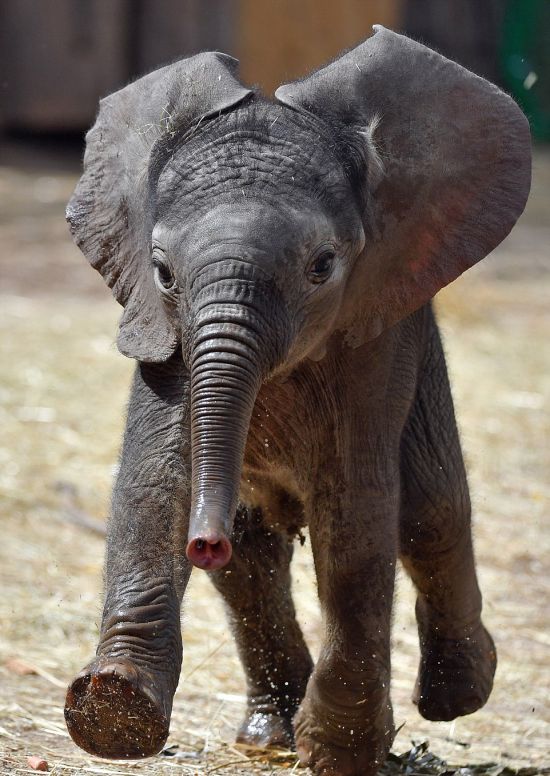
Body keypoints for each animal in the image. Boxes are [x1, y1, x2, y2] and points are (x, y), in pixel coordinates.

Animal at [63, 24, 532, 776]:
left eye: (322, 267)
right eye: (162, 272)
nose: (204, 541)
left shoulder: (376, 332)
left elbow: (355, 514)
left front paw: (341, 750)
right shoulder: (160, 331)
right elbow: (155, 483)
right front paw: (115, 710)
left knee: (430, 509)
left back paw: (455, 696)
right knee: (253, 562)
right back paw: (266, 736)